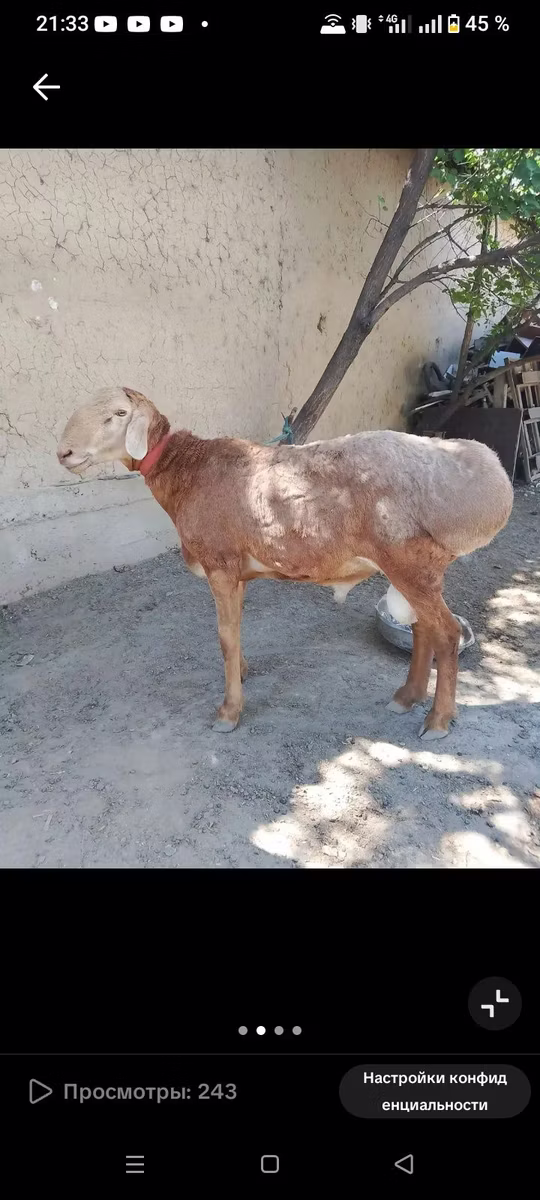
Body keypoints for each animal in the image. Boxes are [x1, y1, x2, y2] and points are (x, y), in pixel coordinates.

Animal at [57, 386, 513, 739]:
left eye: (119, 414)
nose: (64, 452)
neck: (184, 472)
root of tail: (489, 477)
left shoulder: (220, 563)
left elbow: (224, 638)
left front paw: (229, 713)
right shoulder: (238, 573)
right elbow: (235, 632)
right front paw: (241, 675)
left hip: (411, 561)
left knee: (447, 633)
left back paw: (438, 721)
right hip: (412, 567)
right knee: (424, 629)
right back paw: (406, 698)